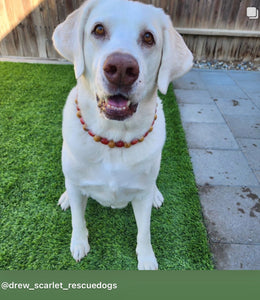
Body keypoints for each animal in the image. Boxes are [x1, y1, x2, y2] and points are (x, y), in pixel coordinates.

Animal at [51, 0, 192, 270]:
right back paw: (65, 197)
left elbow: (144, 231)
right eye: (98, 29)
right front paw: (79, 243)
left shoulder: (141, 196)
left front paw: (147, 258)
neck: (113, 139)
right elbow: (77, 219)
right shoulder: (77, 184)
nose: (121, 68)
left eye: (148, 37)